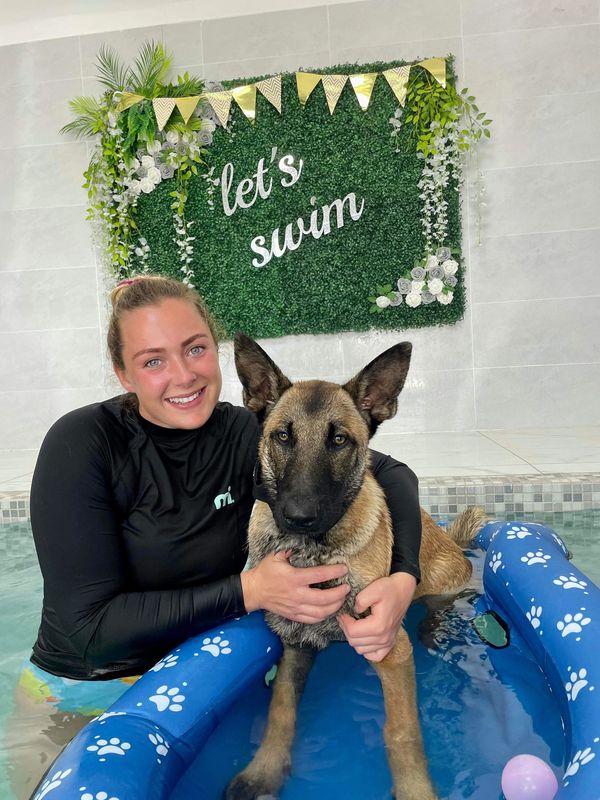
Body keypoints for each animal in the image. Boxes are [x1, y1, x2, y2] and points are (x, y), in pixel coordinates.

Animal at [227, 332, 486, 800]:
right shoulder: (296, 645)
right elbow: (281, 711)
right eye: (283, 436)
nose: (298, 516)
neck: (314, 551)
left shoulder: (391, 650)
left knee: (439, 604)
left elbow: (402, 732)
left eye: (339, 440)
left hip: (439, 584)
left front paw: (415, 789)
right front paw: (263, 770)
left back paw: (433, 628)